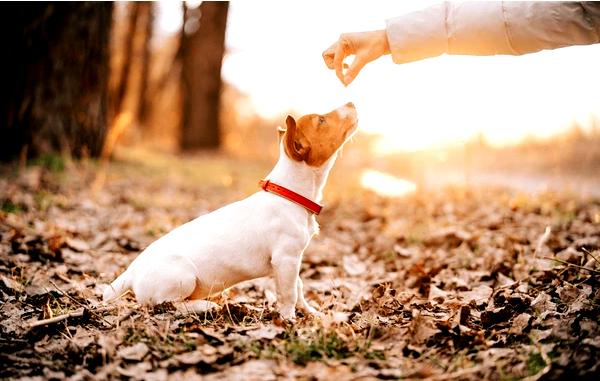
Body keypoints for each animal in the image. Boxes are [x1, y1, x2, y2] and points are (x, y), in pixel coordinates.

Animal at [103, 102, 358, 320]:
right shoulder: (286, 258)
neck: (288, 193)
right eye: (321, 120)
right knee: (168, 305)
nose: (352, 103)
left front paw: (311, 313)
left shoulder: (292, 261)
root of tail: (131, 272)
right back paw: (204, 306)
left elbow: (300, 287)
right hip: (182, 276)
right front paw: (289, 320)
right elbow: (289, 294)